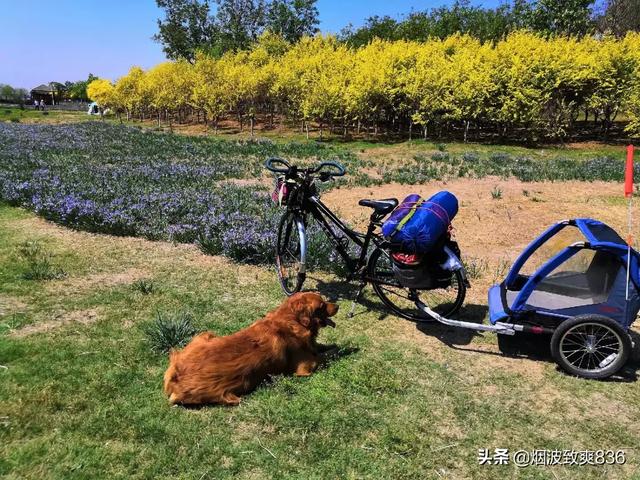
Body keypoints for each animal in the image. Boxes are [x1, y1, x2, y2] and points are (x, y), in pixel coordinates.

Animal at [162, 292, 338, 404]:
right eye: (322, 305)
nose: (338, 306)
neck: (292, 319)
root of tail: (176, 373)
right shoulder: (305, 367)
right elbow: (327, 356)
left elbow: (322, 347)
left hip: (204, 335)